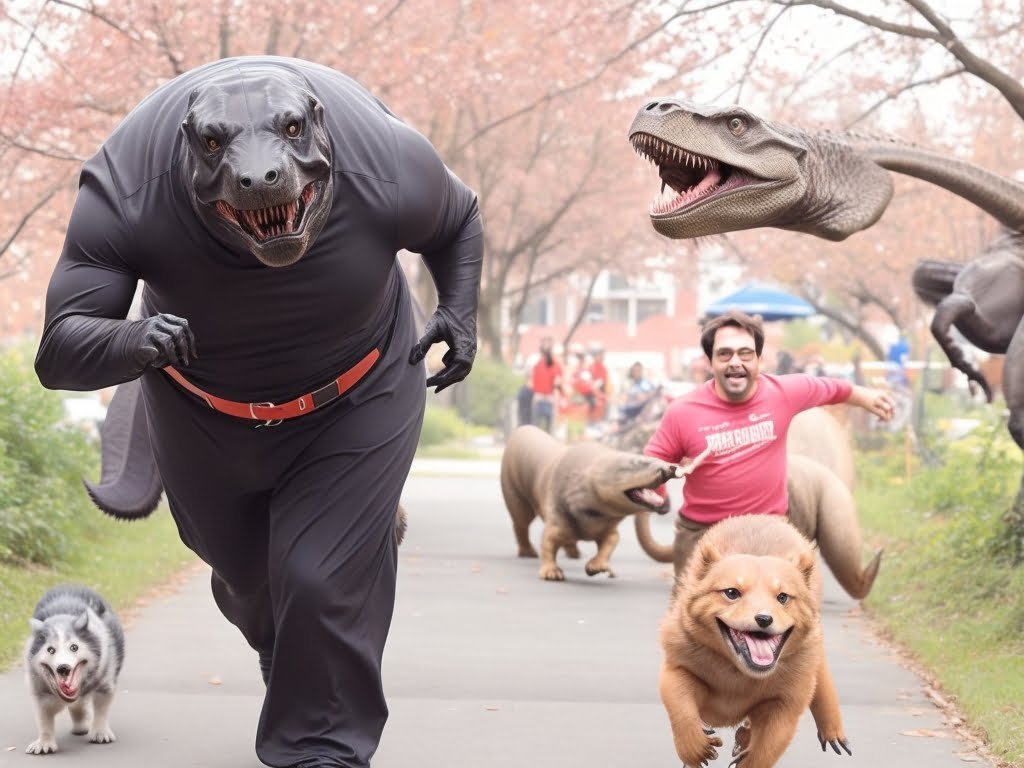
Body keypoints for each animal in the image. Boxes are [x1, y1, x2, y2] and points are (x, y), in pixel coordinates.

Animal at [24, 585, 124, 753]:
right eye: (50, 650)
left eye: (74, 647)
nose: (63, 668)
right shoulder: (39, 688)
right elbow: (43, 716)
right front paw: (44, 744)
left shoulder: (105, 680)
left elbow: (102, 707)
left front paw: (101, 734)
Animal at [659, 514, 851, 765]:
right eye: (731, 592)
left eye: (783, 597)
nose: (764, 618)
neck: (739, 674)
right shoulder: (677, 663)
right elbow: (679, 701)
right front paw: (694, 748)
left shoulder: (787, 700)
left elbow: (767, 747)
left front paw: (746, 755)